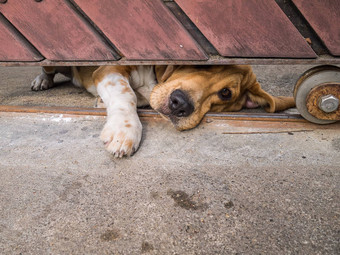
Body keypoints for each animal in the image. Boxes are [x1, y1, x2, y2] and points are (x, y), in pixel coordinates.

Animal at [31, 65, 294, 157]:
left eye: (226, 93)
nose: (180, 103)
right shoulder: (108, 69)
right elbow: (126, 93)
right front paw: (124, 131)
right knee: (47, 68)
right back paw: (41, 79)